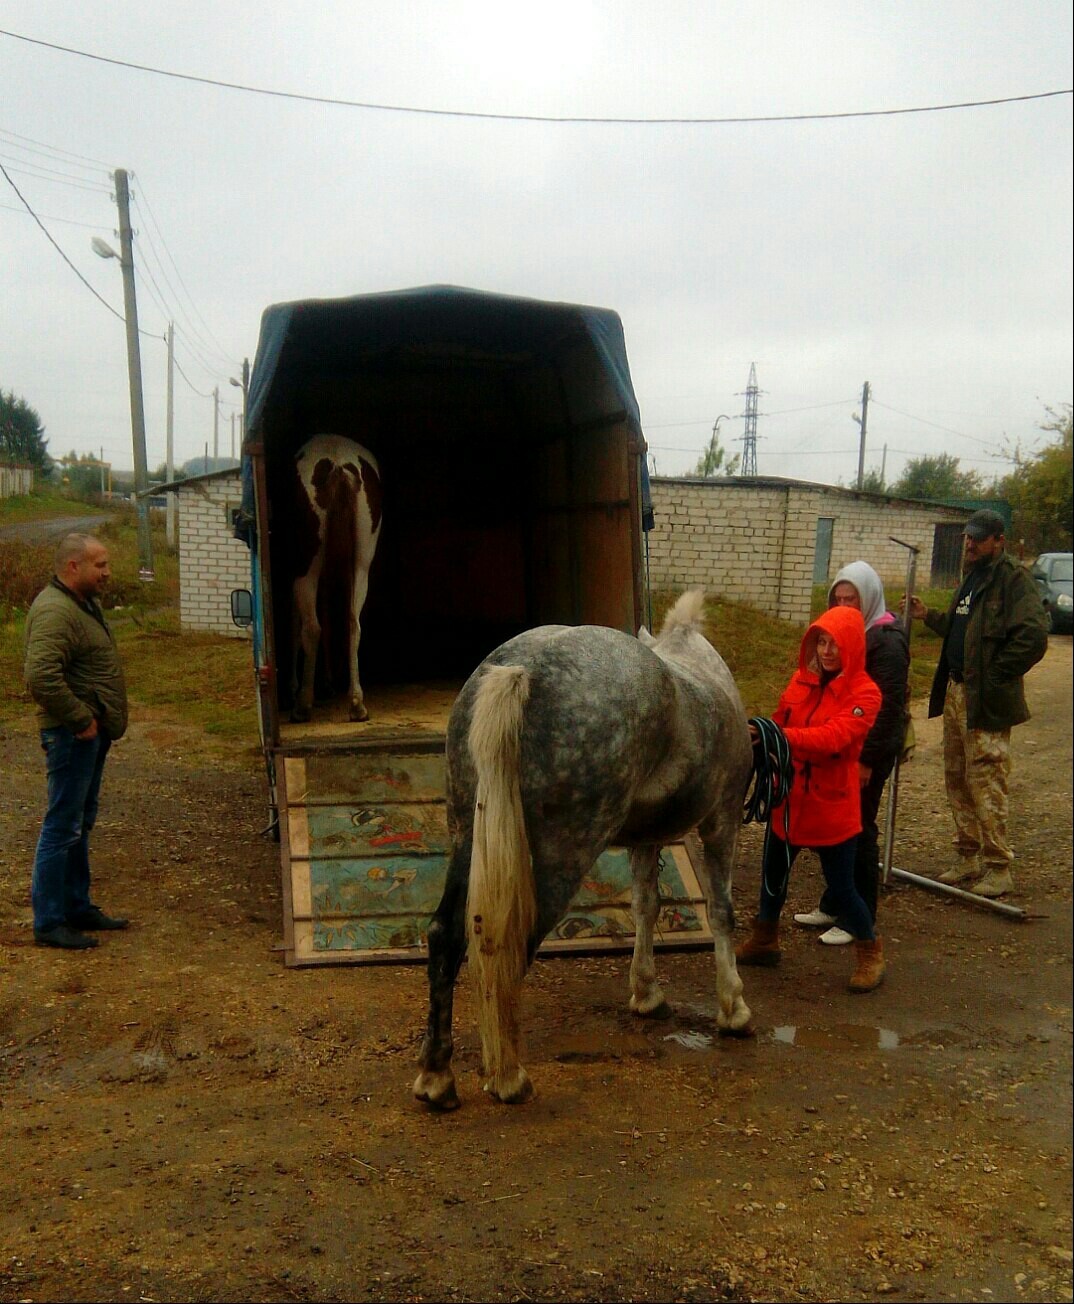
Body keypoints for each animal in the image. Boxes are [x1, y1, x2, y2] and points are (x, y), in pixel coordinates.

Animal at [289, 435, 380, 725]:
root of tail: (339, 463)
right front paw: (328, 682)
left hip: (306, 567)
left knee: (311, 627)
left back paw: (302, 704)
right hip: (361, 562)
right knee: (353, 623)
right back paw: (356, 703)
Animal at [414, 592, 755, 1111]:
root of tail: (524, 670)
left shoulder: (646, 840)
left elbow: (646, 906)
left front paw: (647, 993)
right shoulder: (723, 819)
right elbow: (721, 912)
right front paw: (733, 1007)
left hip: (468, 837)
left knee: (446, 937)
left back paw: (437, 1077)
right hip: (563, 855)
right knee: (510, 948)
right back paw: (508, 1077)